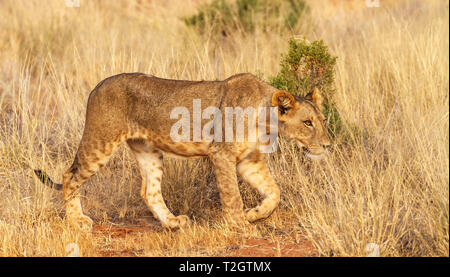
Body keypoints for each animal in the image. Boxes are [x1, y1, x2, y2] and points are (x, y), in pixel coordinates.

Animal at [34, 71, 330, 229]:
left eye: (322, 120)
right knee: (70, 176)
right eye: (307, 123)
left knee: (150, 191)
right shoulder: (221, 155)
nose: (328, 145)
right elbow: (232, 195)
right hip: (100, 140)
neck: (266, 120)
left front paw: (255, 214)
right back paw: (77, 221)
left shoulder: (250, 161)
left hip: (148, 151)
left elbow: (274, 192)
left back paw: (173, 222)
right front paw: (241, 226)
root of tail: (97, 85)